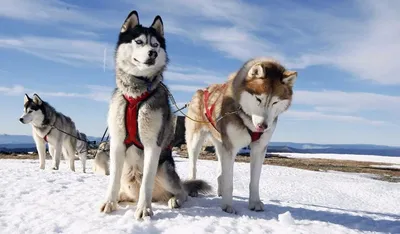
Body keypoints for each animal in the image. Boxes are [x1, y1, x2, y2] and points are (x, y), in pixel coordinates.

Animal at [100, 10, 212, 220]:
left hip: (165, 168)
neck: (136, 93)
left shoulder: (153, 144)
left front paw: (144, 210)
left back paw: (174, 200)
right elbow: (112, 181)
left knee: (181, 191)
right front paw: (109, 203)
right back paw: (121, 198)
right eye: (139, 41)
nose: (152, 53)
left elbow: (147, 183)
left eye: (155, 45)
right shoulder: (117, 143)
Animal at [184, 58, 296, 214]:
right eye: (258, 99)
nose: (263, 126)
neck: (246, 118)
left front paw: (255, 202)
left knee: (221, 169)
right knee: (193, 165)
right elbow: (229, 181)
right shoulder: (231, 147)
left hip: (221, 143)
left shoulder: (259, 148)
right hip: (196, 140)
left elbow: (254, 181)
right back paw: (194, 186)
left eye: (275, 101)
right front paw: (227, 205)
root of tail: (202, 90)